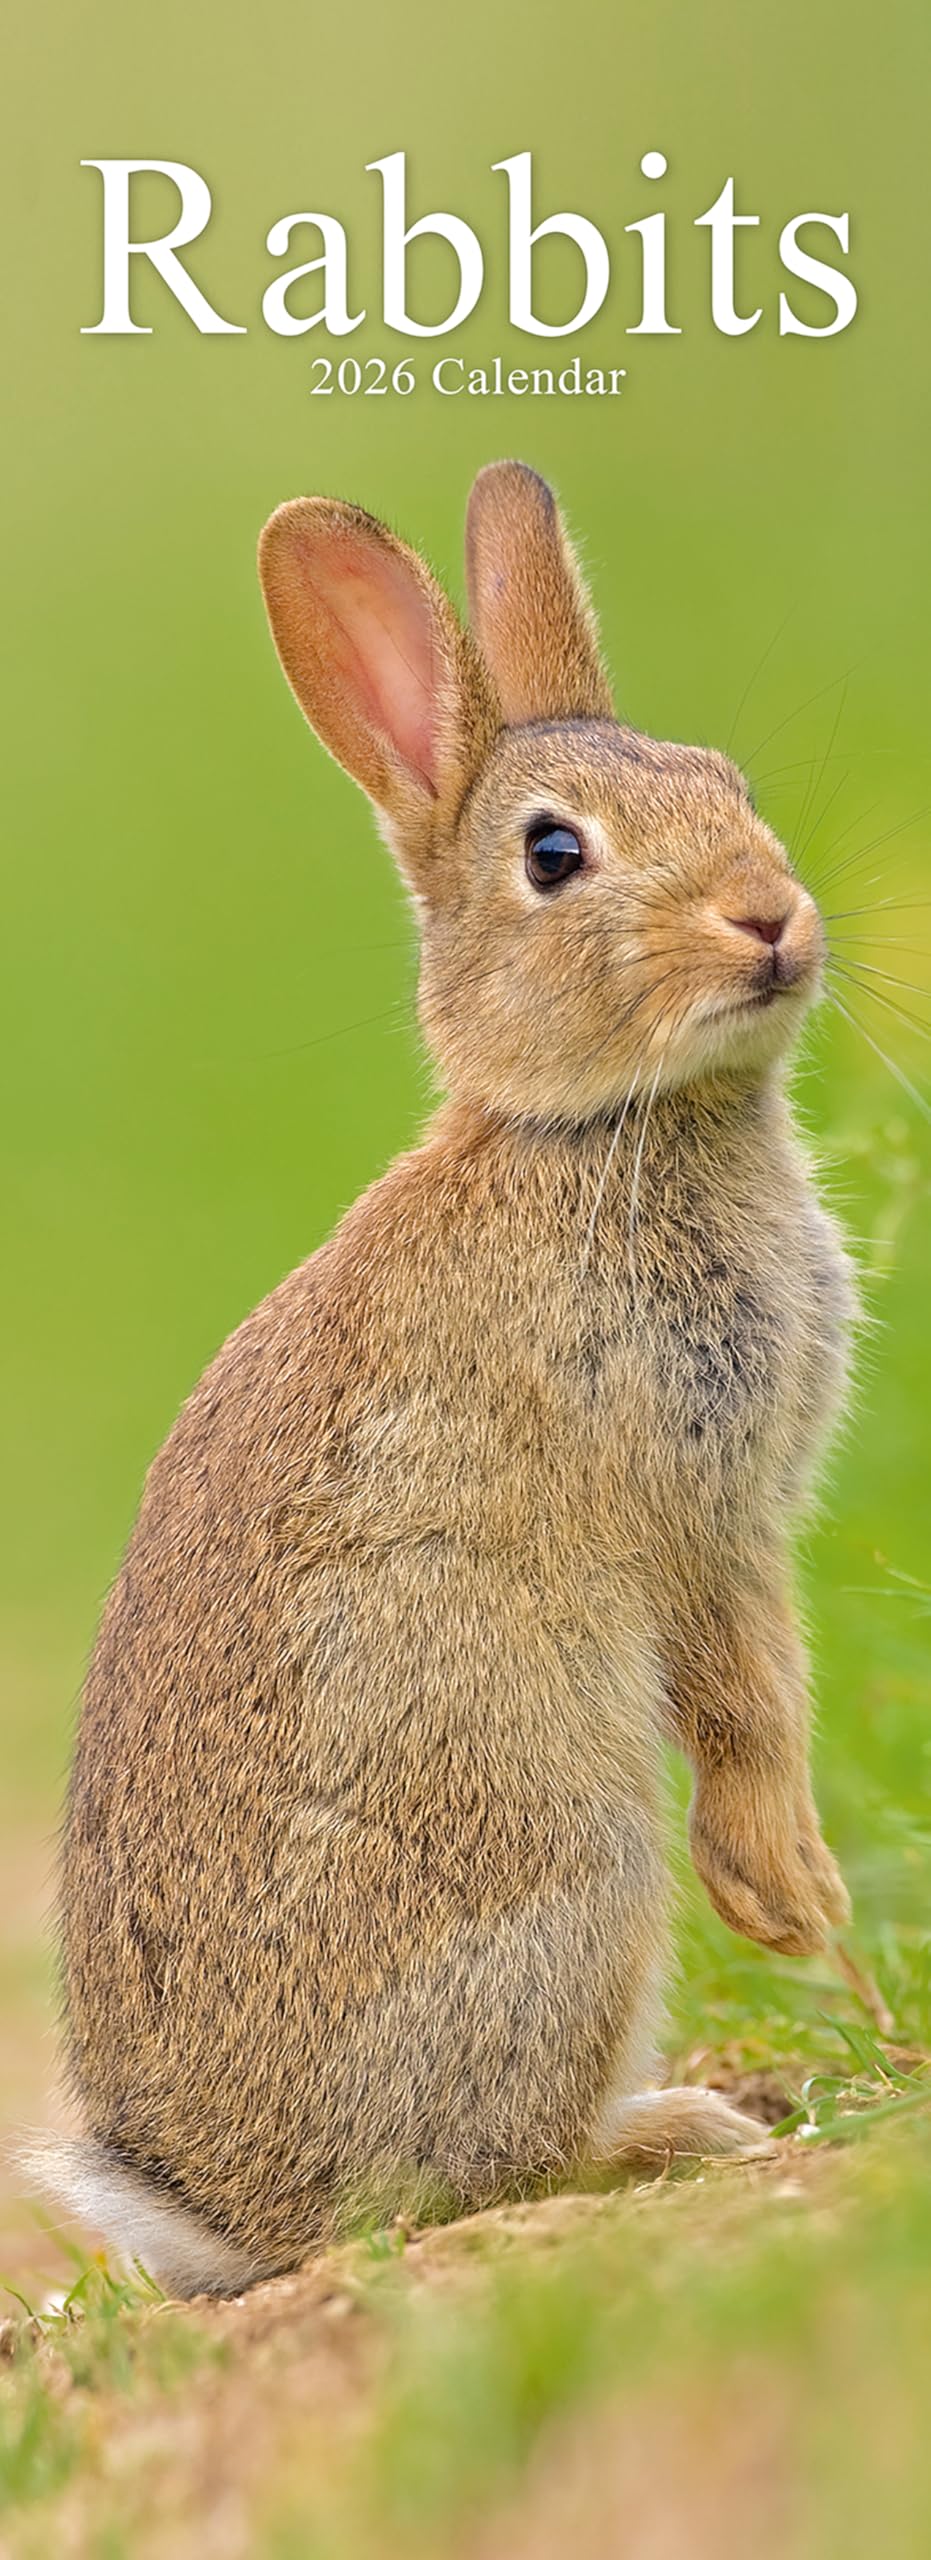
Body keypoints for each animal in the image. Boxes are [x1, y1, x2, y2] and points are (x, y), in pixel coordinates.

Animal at [32, 461, 855, 2297]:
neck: (599, 1130)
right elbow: (747, 1699)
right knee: (476, 2179)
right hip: (571, 1866)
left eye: (728, 783)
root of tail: (233, 2215)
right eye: (554, 854)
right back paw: (678, 2135)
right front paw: (796, 1900)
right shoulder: (690, 1513)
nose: (771, 918)